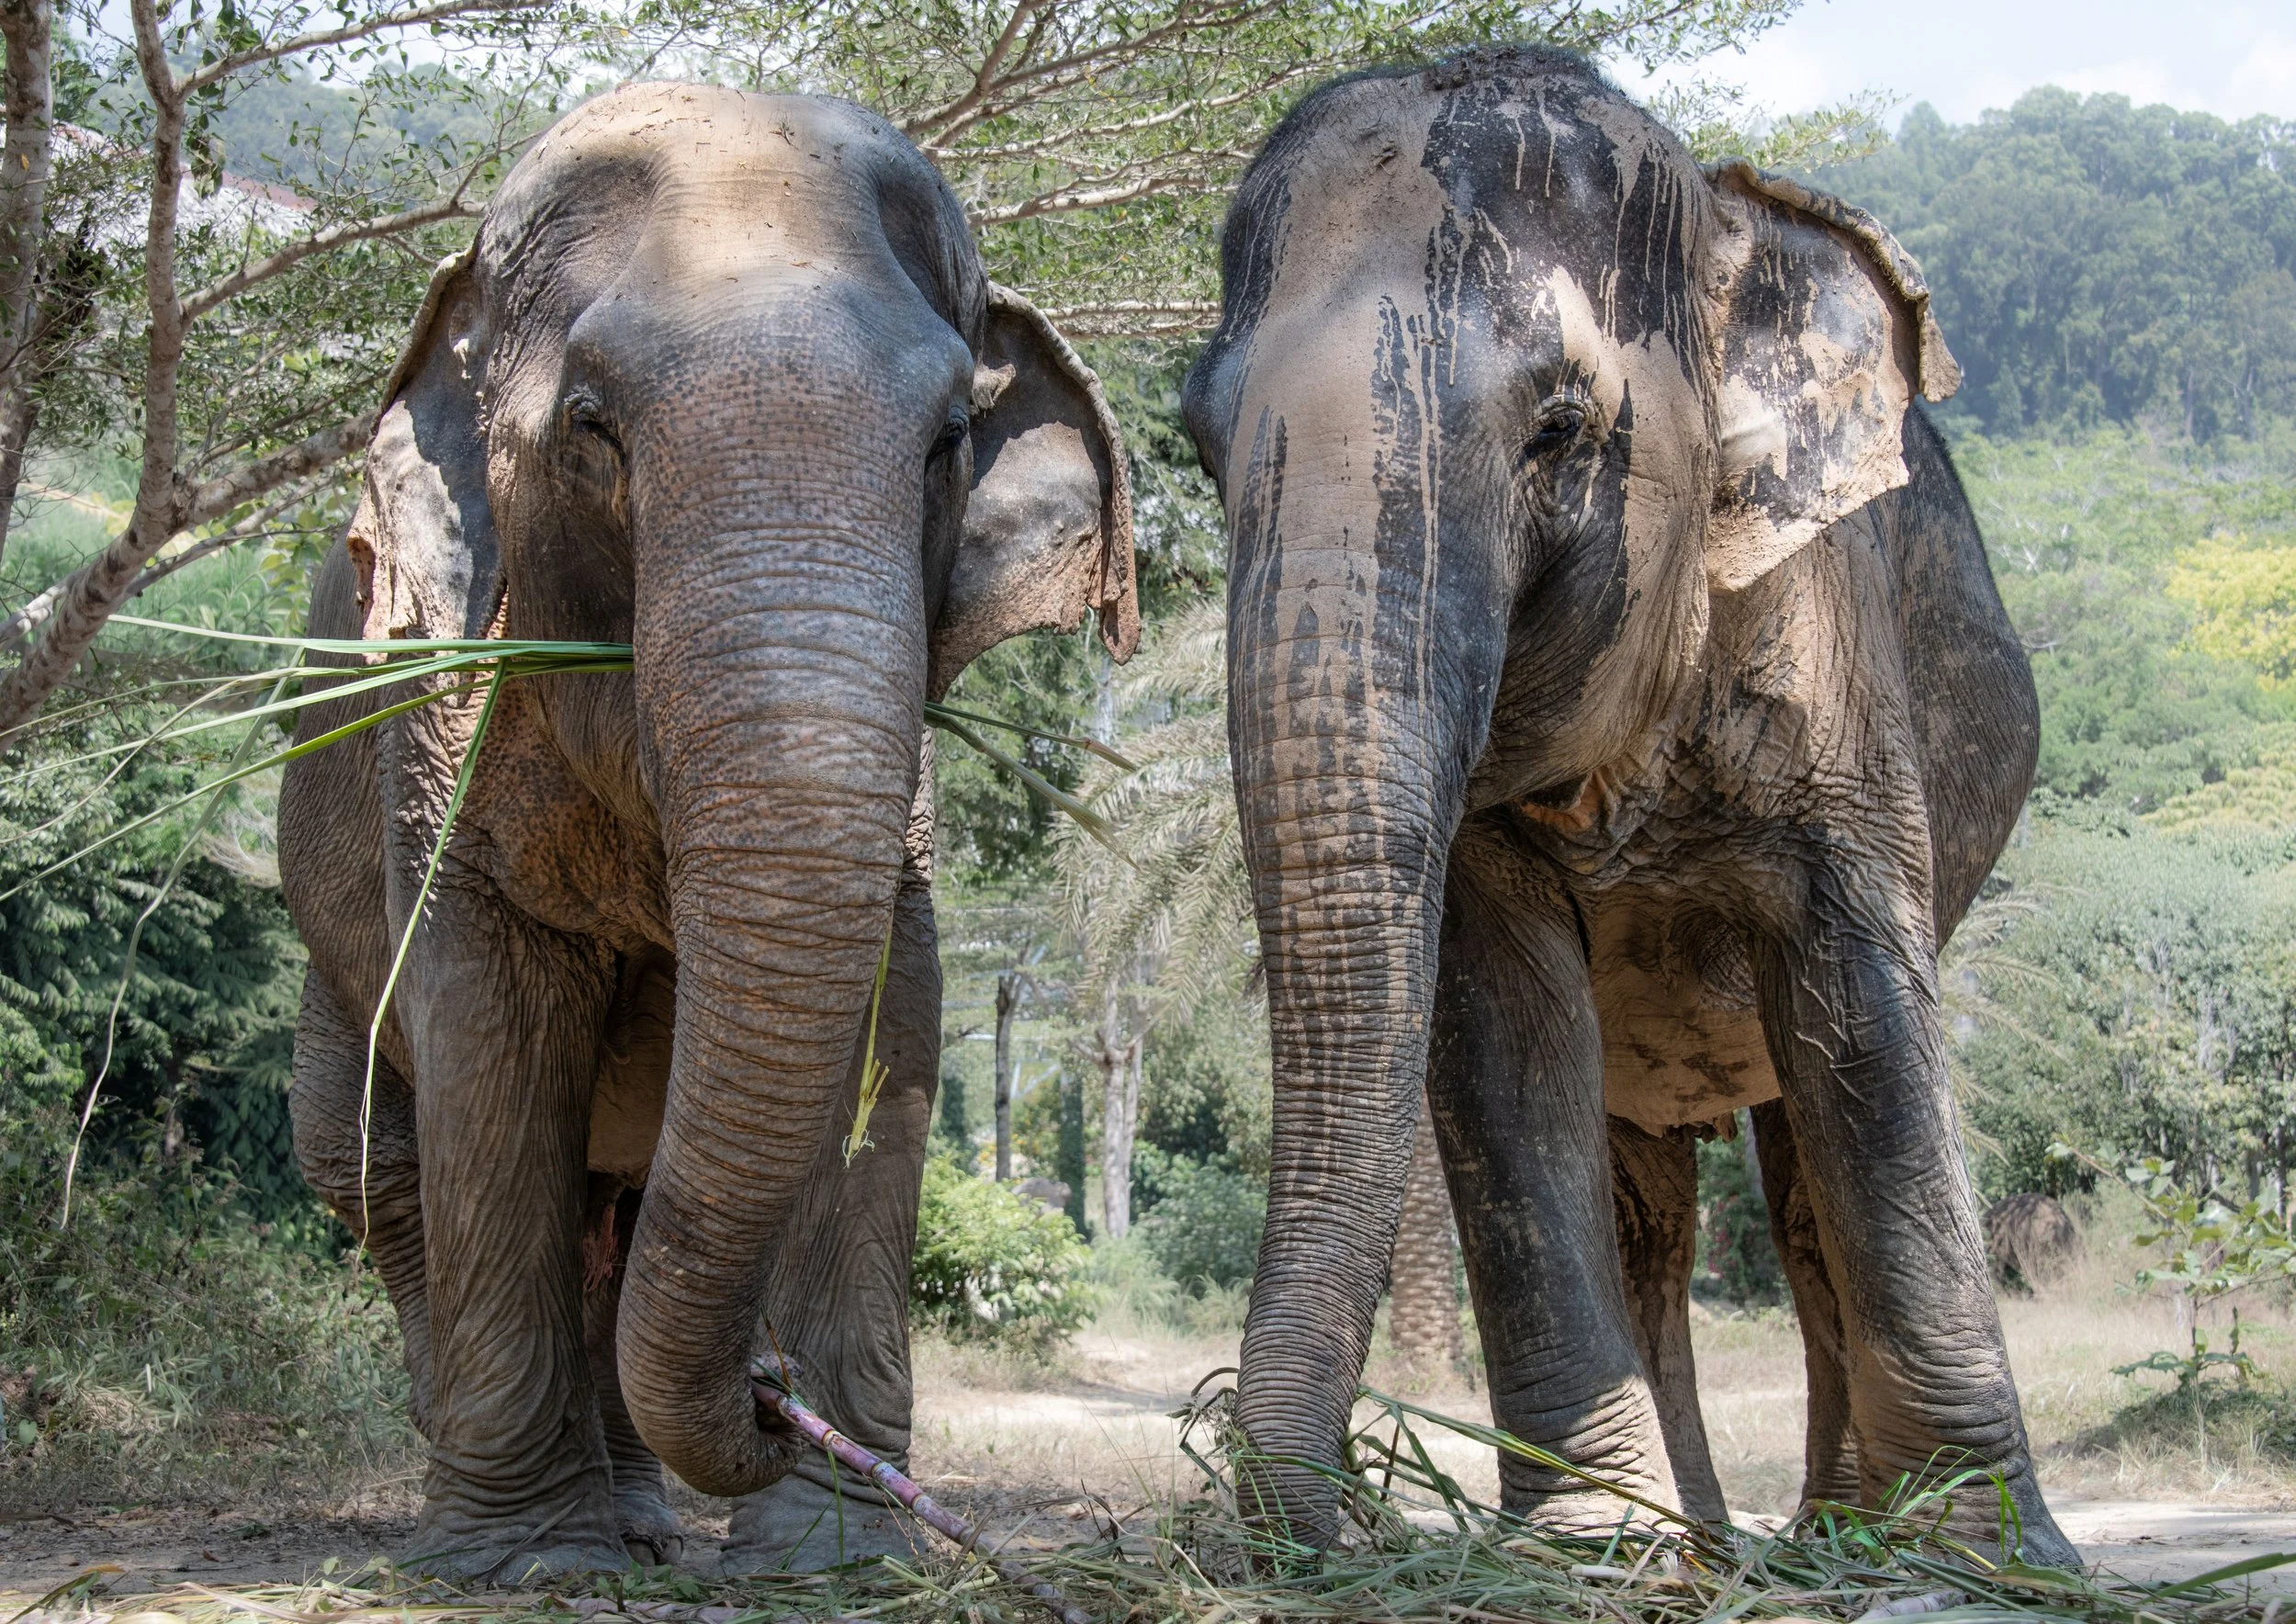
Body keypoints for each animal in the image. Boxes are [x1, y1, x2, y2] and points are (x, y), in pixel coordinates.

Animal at [276, 83, 1136, 1581]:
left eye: (947, 441)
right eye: (589, 424)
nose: (770, 1392)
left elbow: (892, 1026)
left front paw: (837, 1558)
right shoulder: (438, 736)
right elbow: (488, 1038)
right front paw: (527, 1565)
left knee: (613, 1216)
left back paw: (634, 1517)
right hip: (327, 971)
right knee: (376, 1169)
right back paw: (494, 1488)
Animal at [1179, 45, 2072, 1563]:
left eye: (1559, 430)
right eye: (1198, 440)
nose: (1339, 1517)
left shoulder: (1830, 645)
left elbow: (1865, 1018)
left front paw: (1990, 1557)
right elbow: (1501, 1036)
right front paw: (1592, 1551)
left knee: (1796, 1182)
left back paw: (1834, 1538)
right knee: (1646, 1202)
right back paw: (1704, 1546)